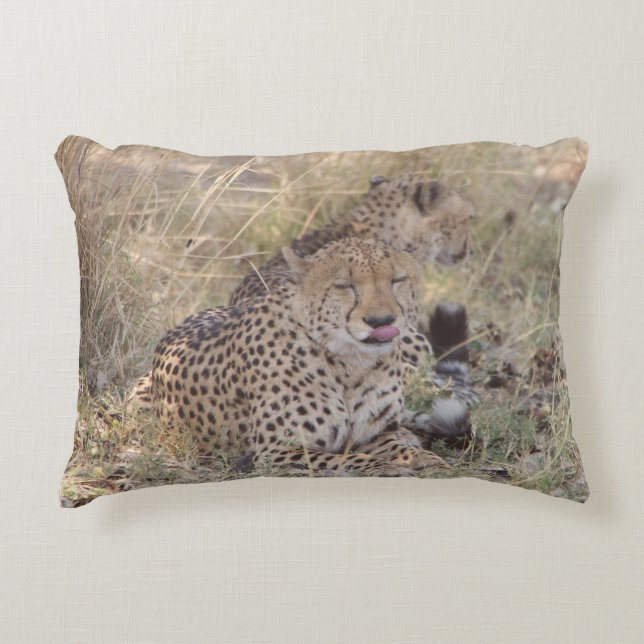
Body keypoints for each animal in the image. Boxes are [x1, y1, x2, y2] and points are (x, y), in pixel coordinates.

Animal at [145, 238, 450, 476]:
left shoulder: (375, 433)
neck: (350, 362)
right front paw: (385, 466)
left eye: (397, 280)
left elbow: (392, 443)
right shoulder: (276, 450)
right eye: (344, 285)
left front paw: (425, 459)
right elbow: (345, 458)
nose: (381, 321)